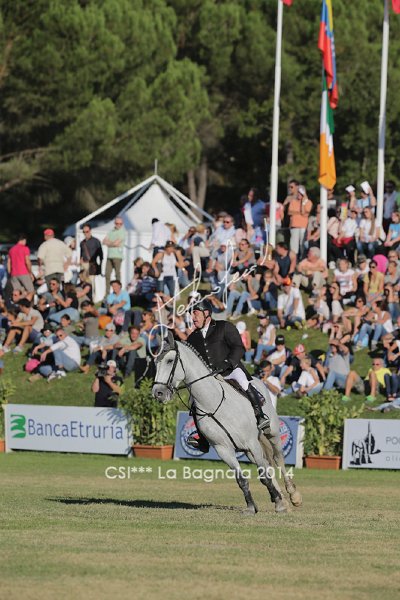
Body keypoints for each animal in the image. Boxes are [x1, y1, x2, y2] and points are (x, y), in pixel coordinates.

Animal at [152, 332, 302, 515]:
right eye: (155, 363)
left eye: (169, 360)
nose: (158, 393)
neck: (213, 401)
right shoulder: (224, 450)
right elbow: (242, 480)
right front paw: (252, 507)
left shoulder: (252, 443)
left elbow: (263, 475)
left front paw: (280, 504)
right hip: (249, 451)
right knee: (268, 464)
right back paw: (281, 498)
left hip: (270, 433)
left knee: (278, 458)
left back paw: (292, 496)